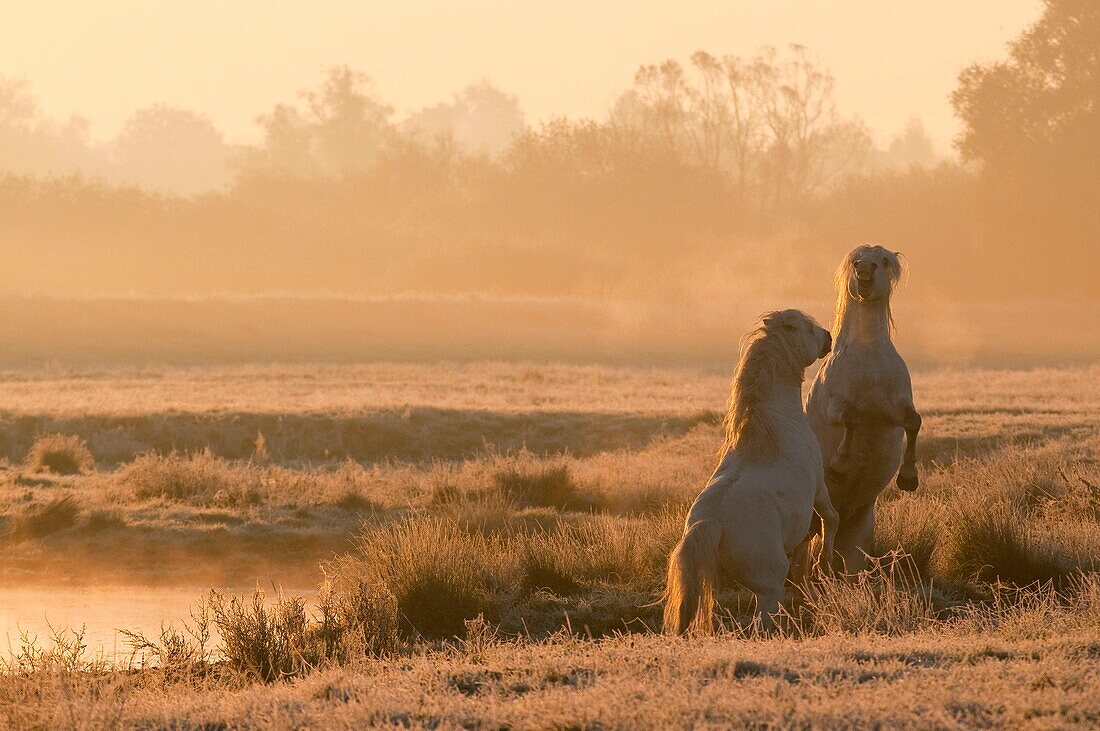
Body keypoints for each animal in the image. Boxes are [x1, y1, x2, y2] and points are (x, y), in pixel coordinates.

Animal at [660, 307, 831, 633]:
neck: (776, 423)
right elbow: (831, 517)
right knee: (761, 622)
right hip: (769, 586)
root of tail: (711, 523)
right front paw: (825, 557)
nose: (828, 337)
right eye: (808, 328)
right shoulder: (819, 487)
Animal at [809, 245, 919, 576]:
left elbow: (914, 422)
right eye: (856, 261)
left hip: (857, 531)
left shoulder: (896, 410)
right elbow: (851, 418)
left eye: (882, 261)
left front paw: (909, 478)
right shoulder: (834, 406)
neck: (869, 359)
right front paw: (841, 463)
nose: (864, 275)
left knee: (849, 564)